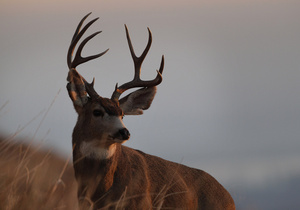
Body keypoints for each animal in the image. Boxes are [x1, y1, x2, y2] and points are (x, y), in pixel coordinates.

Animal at [67, 13, 236, 210]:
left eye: (122, 114)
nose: (124, 132)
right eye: (96, 111)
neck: (100, 192)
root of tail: (229, 197)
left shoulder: (141, 204)